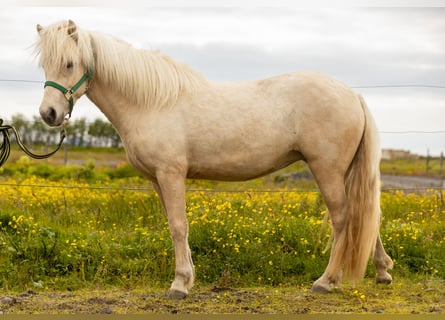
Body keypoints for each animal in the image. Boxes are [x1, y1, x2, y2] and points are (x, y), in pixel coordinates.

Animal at [34, 20, 392, 300]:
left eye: (69, 63)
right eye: (45, 65)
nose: (49, 114)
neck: (151, 103)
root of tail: (352, 95)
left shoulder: (171, 174)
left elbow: (179, 226)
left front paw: (179, 285)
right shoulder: (157, 179)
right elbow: (174, 225)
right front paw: (188, 277)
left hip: (327, 169)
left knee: (343, 218)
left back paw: (326, 281)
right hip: (345, 172)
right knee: (364, 215)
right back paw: (382, 271)